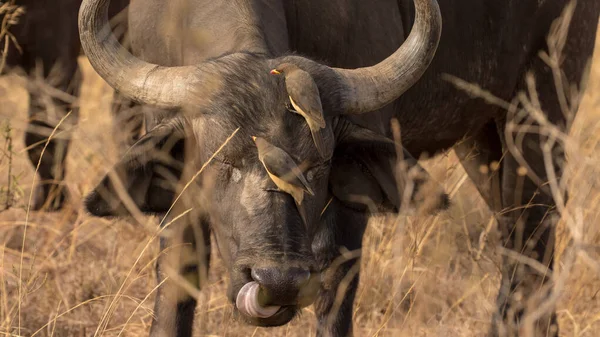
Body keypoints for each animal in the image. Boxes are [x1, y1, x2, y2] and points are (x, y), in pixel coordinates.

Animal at [77, 0, 596, 334]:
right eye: (220, 159)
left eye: (319, 165)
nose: (278, 282)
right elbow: (175, 289)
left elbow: (333, 295)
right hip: (482, 143)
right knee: (515, 242)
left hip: (540, 111)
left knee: (532, 245)